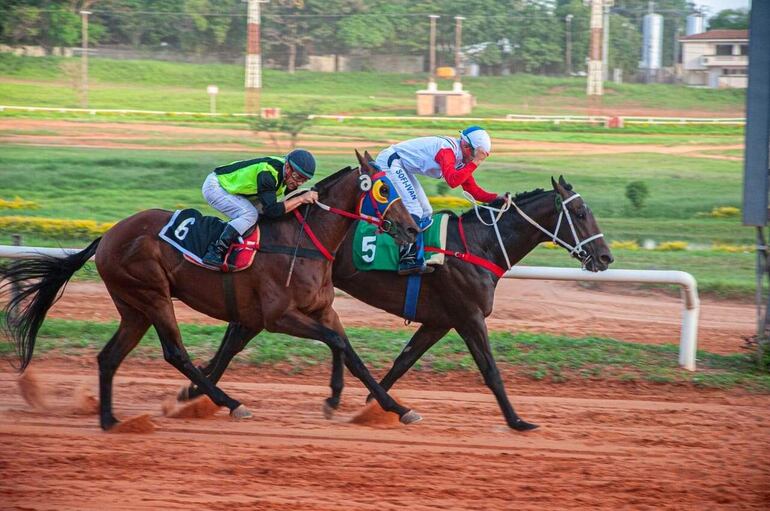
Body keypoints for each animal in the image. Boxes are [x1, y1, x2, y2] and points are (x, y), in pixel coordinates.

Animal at [1, 150, 420, 430]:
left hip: (133, 307)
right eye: (384, 189)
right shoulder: (278, 316)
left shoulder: (317, 310)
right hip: (152, 295)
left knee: (109, 357)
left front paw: (397, 409)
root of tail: (107, 236)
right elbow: (334, 342)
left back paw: (111, 420)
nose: (413, 228)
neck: (304, 241)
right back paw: (232, 403)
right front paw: (335, 398)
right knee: (175, 352)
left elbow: (349, 351)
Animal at [178, 177, 612, 432]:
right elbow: (490, 370)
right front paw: (518, 420)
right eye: (579, 212)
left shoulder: (440, 321)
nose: (605, 257)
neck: (478, 246)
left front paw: (374, 405)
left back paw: (194, 391)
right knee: (236, 338)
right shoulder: (468, 316)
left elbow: (403, 361)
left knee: (236, 337)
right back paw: (200, 393)